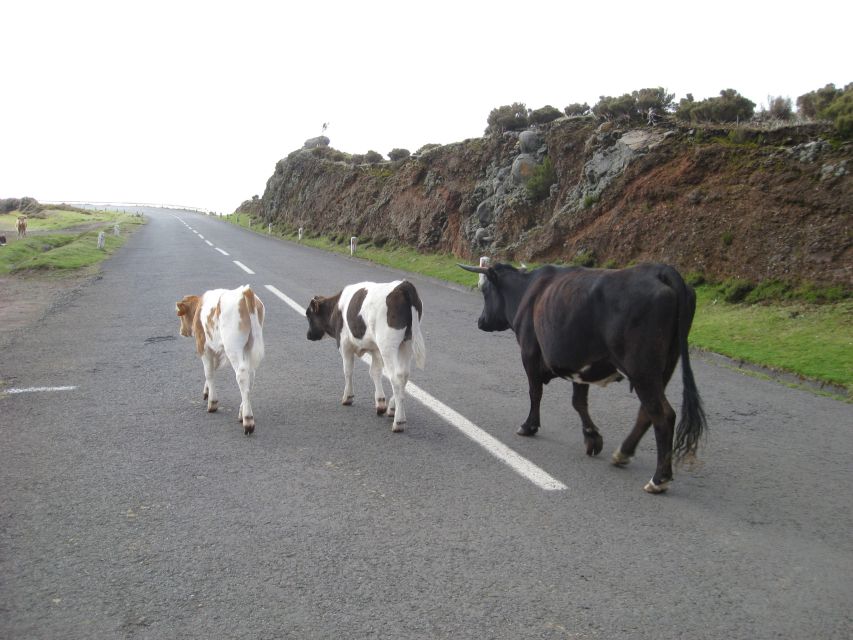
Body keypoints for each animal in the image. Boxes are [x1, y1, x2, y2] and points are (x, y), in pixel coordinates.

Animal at [174, 284, 262, 436]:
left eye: (181, 316)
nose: (181, 331)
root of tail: (244, 291)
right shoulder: (216, 350)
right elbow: (212, 369)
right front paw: (206, 391)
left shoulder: (203, 346)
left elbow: (209, 372)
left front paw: (212, 403)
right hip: (248, 347)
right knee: (250, 377)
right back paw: (242, 412)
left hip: (233, 348)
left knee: (242, 375)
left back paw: (248, 420)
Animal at [306, 278, 426, 432]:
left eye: (308, 315)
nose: (308, 335)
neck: (336, 307)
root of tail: (403, 285)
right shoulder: (375, 350)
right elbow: (374, 372)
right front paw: (380, 403)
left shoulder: (344, 344)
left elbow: (348, 371)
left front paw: (348, 397)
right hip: (406, 343)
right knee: (403, 374)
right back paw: (392, 408)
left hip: (388, 345)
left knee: (396, 377)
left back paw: (399, 422)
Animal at [460, 262, 704, 492]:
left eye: (485, 290)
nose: (481, 321)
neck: (525, 291)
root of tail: (659, 270)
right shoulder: (580, 366)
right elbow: (578, 402)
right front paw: (592, 437)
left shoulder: (529, 353)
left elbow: (535, 392)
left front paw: (529, 426)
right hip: (663, 368)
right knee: (649, 412)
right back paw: (623, 453)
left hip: (642, 370)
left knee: (662, 415)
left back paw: (658, 479)